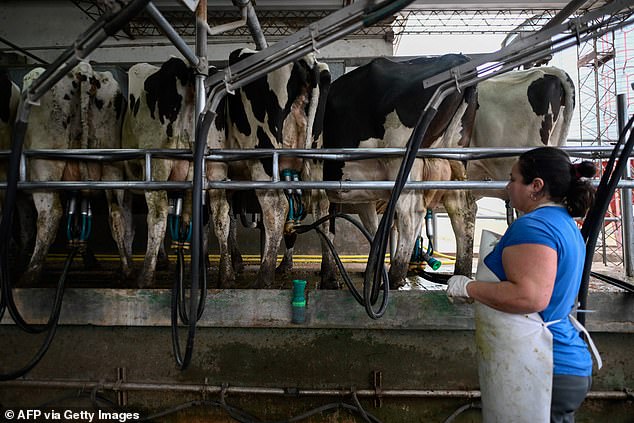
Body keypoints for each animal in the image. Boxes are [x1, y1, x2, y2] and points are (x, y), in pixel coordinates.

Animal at [19, 62, 131, 284]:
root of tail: (83, 70)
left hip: (45, 162)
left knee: (50, 213)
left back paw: (31, 272)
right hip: (111, 163)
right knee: (116, 214)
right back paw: (124, 269)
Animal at [217, 48, 334, 290]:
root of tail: (306, 60)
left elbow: (221, 218)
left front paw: (226, 273)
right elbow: (230, 218)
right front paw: (236, 263)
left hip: (264, 155)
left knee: (277, 206)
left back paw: (264, 276)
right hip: (316, 157)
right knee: (321, 205)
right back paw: (328, 275)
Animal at [320, 54, 474, 290]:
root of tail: (456, 58)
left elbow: (325, 225)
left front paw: (329, 277)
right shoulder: (361, 191)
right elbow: (371, 226)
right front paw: (372, 268)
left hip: (401, 159)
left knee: (410, 213)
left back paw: (396, 276)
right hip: (454, 158)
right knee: (462, 210)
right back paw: (461, 272)